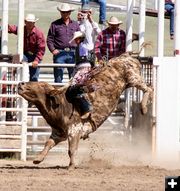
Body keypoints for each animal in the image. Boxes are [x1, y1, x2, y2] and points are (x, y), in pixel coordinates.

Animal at [17, 53, 152, 169]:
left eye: (40, 86)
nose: (21, 84)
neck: (60, 105)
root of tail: (125, 56)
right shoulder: (59, 133)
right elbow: (48, 143)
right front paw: (38, 159)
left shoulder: (74, 130)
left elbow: (71, 150)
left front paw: (71, 166)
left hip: (133, 77)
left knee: (149, 89)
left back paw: (143, 108)